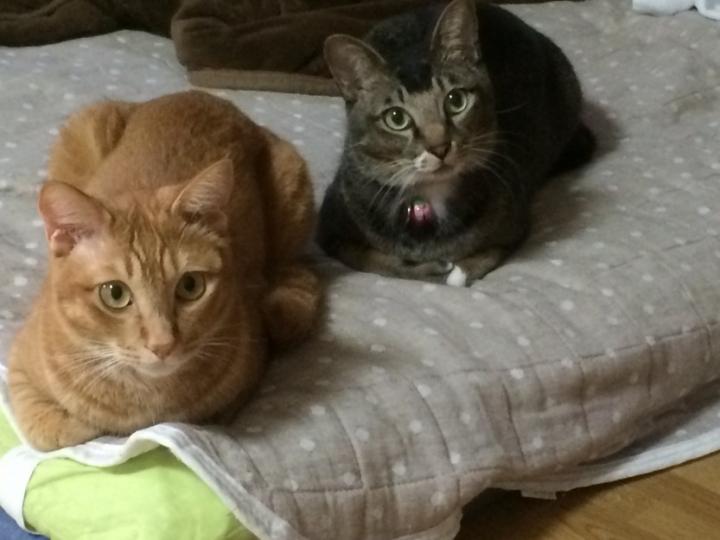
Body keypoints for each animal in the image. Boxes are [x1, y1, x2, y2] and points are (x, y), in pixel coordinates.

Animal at [8, 90, 321, 451]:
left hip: (291, 192)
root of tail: (203, 94)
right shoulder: (17, 368)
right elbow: (54, 432)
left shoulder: (248, 371)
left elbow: (210, 417)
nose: (163, 345)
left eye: (190, 286)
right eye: (114, 293)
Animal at [317, 0, 595, 286]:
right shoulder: (331, 227)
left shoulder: (515, 224)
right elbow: (372, 260)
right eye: (396, 118)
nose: (439, 147)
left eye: (456, 100)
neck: (428, 200)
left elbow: (488, 253)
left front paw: (459, 272)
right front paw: (427, 269)